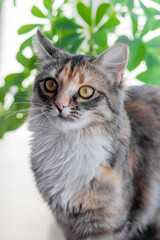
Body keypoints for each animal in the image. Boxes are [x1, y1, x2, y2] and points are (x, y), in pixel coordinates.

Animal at [28, 30, 160, 240]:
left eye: (85, 91)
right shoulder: (65, 221)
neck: (69, 145)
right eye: (50, 85)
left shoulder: (107, 223)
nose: (59, 105)